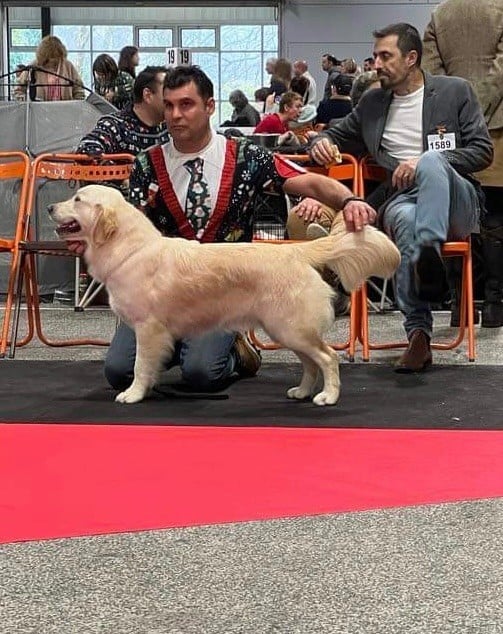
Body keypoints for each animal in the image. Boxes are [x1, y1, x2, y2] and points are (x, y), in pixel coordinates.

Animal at [48, 185, 402, 404]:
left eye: (77, 199)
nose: (51, 206)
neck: (130, 249)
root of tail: (295, 250)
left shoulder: (149, 329)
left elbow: (138, 366)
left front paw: (133, 394)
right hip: (286, 330)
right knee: (311, 363)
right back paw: (301, 392)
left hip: (291, 328)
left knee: (328, 358)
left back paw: (328, 397)